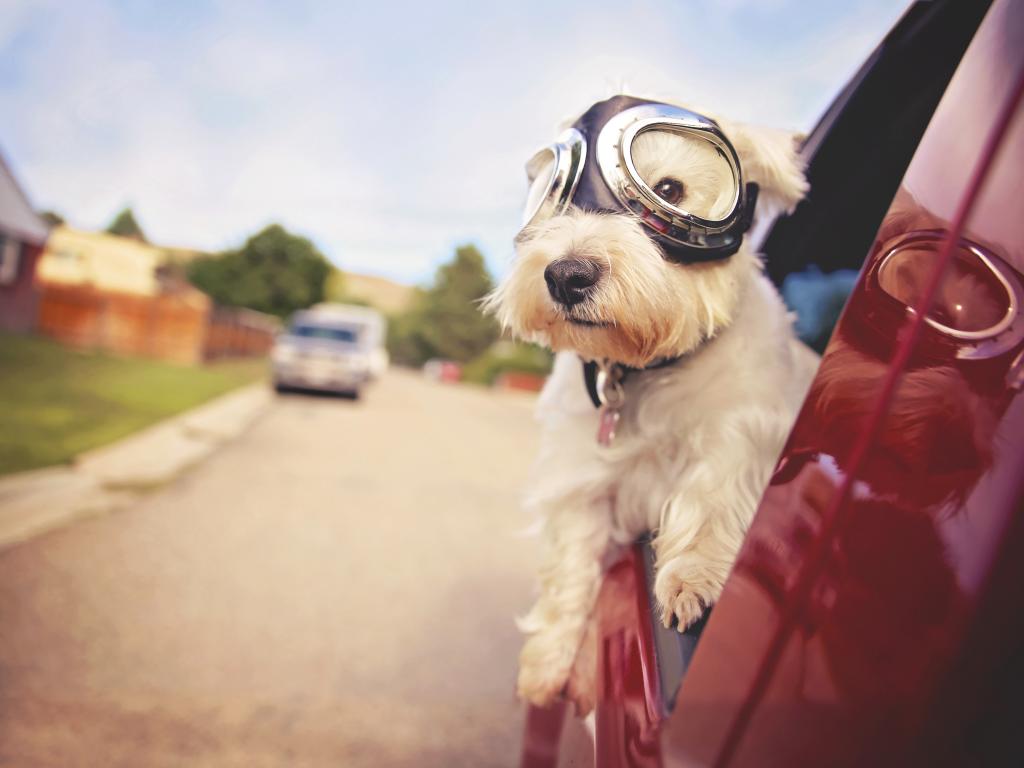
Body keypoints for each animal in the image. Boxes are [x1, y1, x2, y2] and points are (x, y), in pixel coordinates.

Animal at [483, 96, 819, 708]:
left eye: (669, 189)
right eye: (554, 196)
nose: (566, 275)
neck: (646, 368)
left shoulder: (743, 430)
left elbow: (712, 493)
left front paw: (693, 578)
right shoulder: (582, 481)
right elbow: (570, 567)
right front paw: (546, 663)